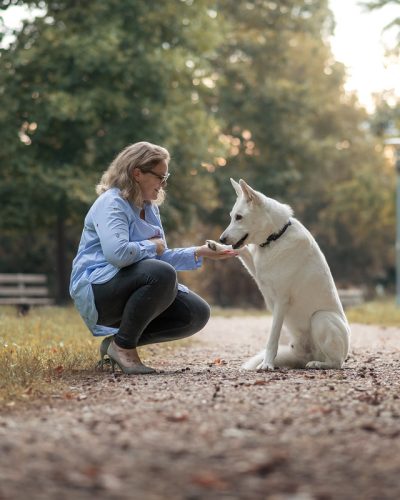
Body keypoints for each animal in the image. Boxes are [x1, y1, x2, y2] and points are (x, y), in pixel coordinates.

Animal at [208, 180, 352, 372]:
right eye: (232, 216)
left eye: (239, 217)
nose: (221, 238)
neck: (275, 237)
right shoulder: (257, 271)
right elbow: (242, 251)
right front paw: (216, 247)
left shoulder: (281, 301)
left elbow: (272, 339)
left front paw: (267, 364)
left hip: (321, 318)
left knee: (336, 362)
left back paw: (317, 364)